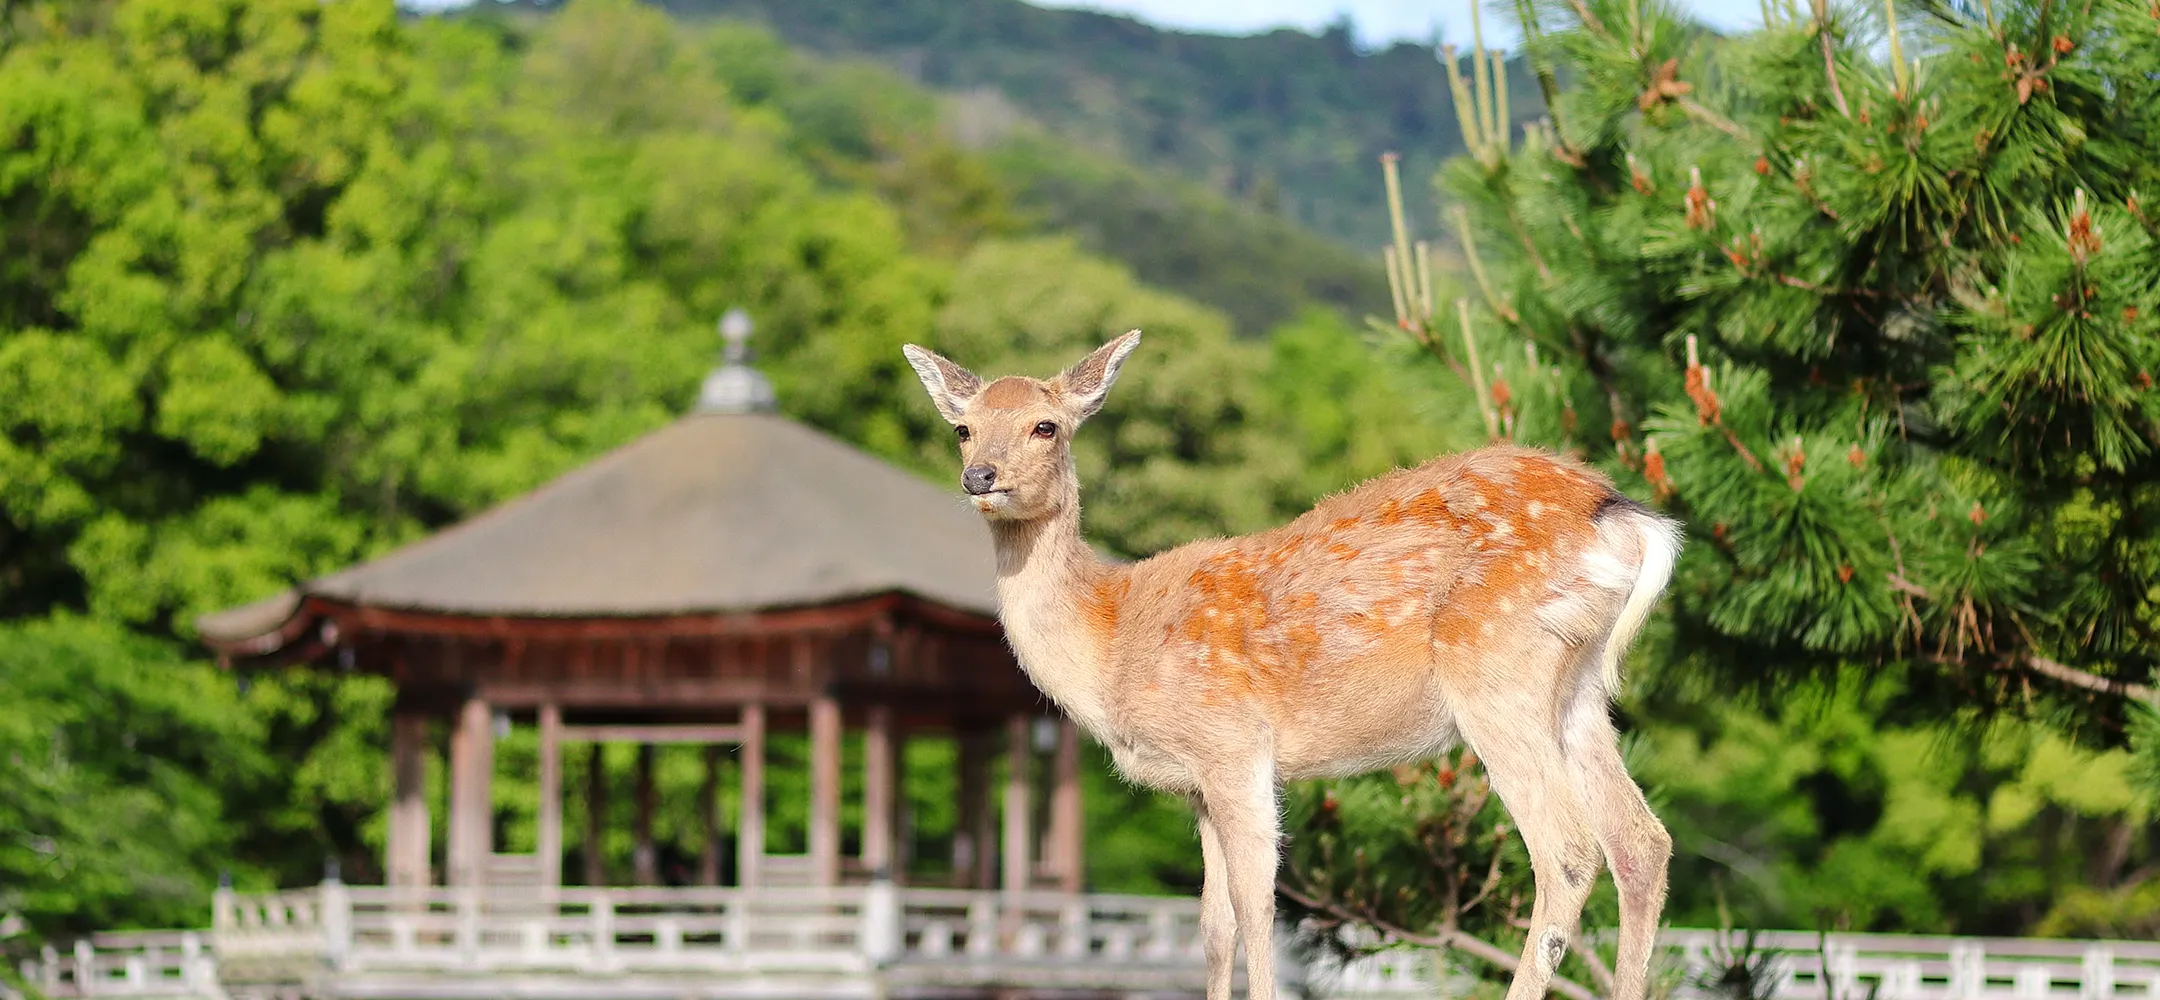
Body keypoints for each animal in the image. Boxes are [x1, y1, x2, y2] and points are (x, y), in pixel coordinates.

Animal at [902, 330, 1683, 1000]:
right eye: (963, 427)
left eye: (1047, 426)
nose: (980, 475)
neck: (1111, 641)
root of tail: (1621, 514)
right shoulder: (1197, 784)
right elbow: (1213, 926)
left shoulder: (1231, 744)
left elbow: (1256, 909)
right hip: (1579, 687)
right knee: (1641, 841)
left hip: (1495, 665)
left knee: (1569, 850)